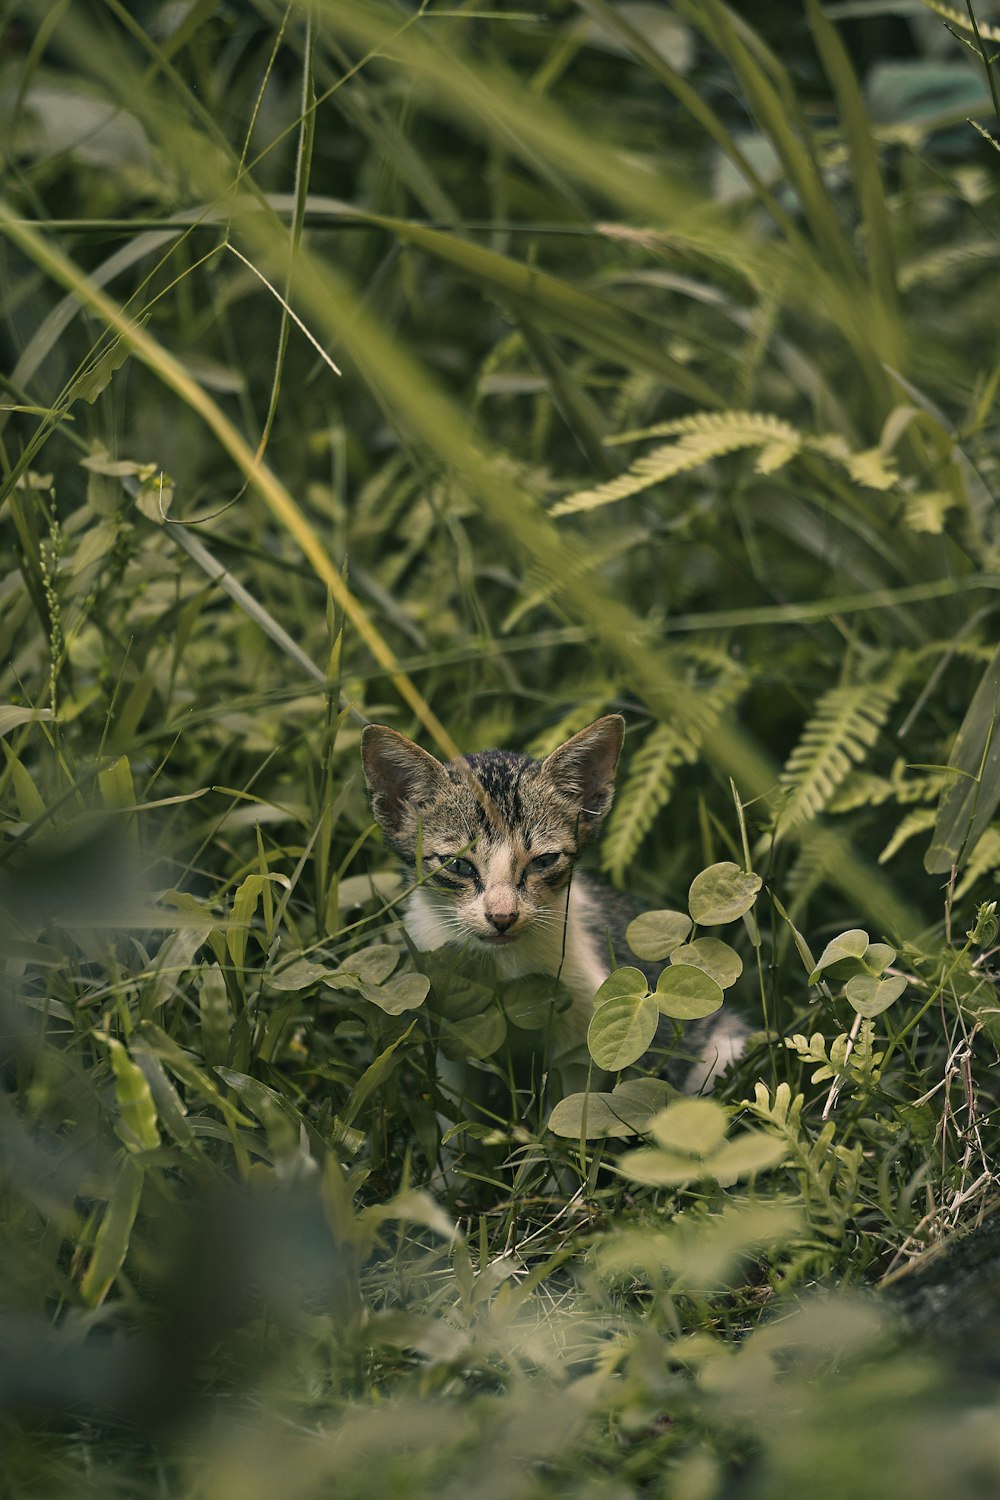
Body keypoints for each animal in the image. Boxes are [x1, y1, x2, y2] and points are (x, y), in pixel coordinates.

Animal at [359, 717, 743, 1092]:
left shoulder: (584, 1027)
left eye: (543, 861)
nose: (503, 917)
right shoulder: (446, 1025)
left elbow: (574, 1098)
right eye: (458, 865)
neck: (503, 962)